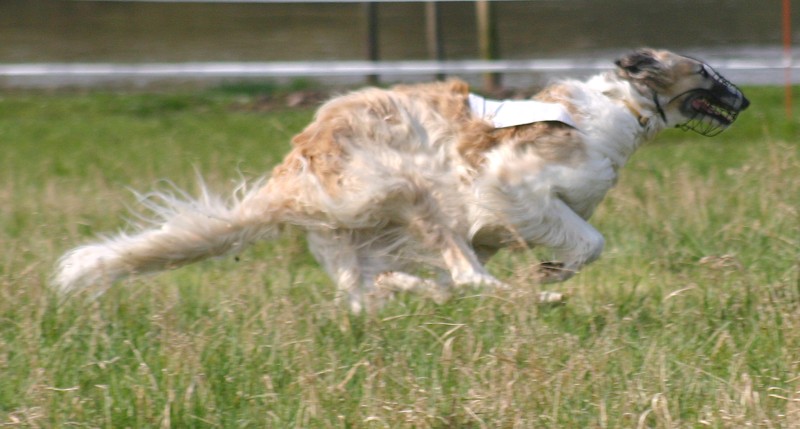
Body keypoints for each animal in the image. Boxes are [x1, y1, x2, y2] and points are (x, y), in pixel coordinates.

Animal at [54, 48, 749, 312]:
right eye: (706, 73)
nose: (744, 101)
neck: (621, 111)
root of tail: (291, 170)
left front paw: (550, 273)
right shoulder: (510, 184)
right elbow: (587, 240)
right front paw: (551, 277)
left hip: (363, 235)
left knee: (379, 286)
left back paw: (418, 292)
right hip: (406, 191)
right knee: (464, 277)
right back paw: (524, 299)